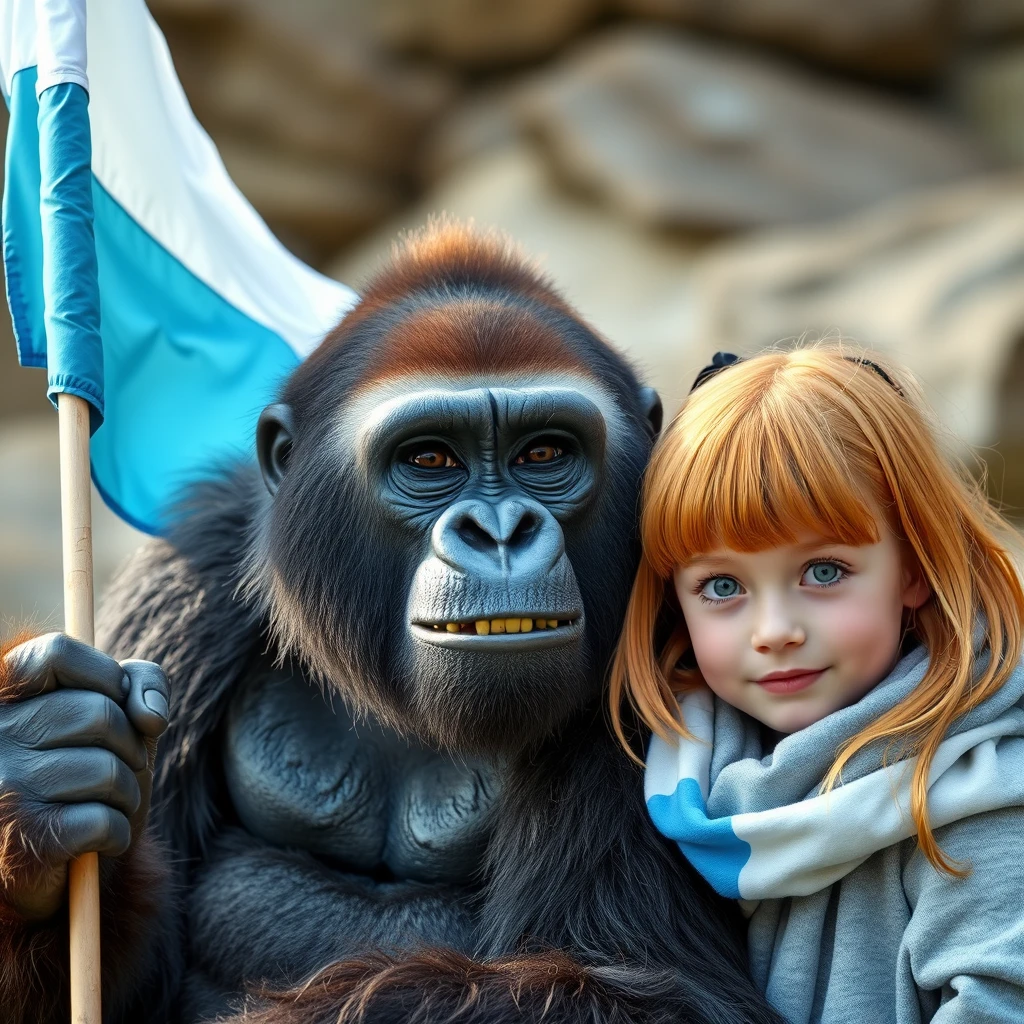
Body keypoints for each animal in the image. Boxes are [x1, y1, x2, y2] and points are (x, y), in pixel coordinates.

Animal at [0, 226, 774, 1024]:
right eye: (428, 458)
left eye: (544, 452)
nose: (500, 531)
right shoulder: (188, 580)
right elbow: (134, 982)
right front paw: (35, 799)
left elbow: (659, 991)